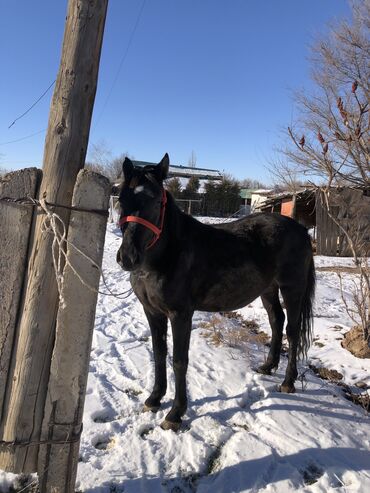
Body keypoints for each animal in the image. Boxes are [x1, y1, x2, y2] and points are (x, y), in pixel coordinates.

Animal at [116, 154, 316, 430]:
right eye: (121, 199)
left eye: (156, 201)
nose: (127, 257)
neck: (167, 255)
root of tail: (301, 230)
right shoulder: (152, 312)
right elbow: (159, 354)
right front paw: (154, 399)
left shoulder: (180, 315)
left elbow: (179, 360)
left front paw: (175, 413)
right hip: (268, 289)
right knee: (277, 321)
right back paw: (267, 366)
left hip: (292, 288)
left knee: (292, 331)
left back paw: (288, 382)